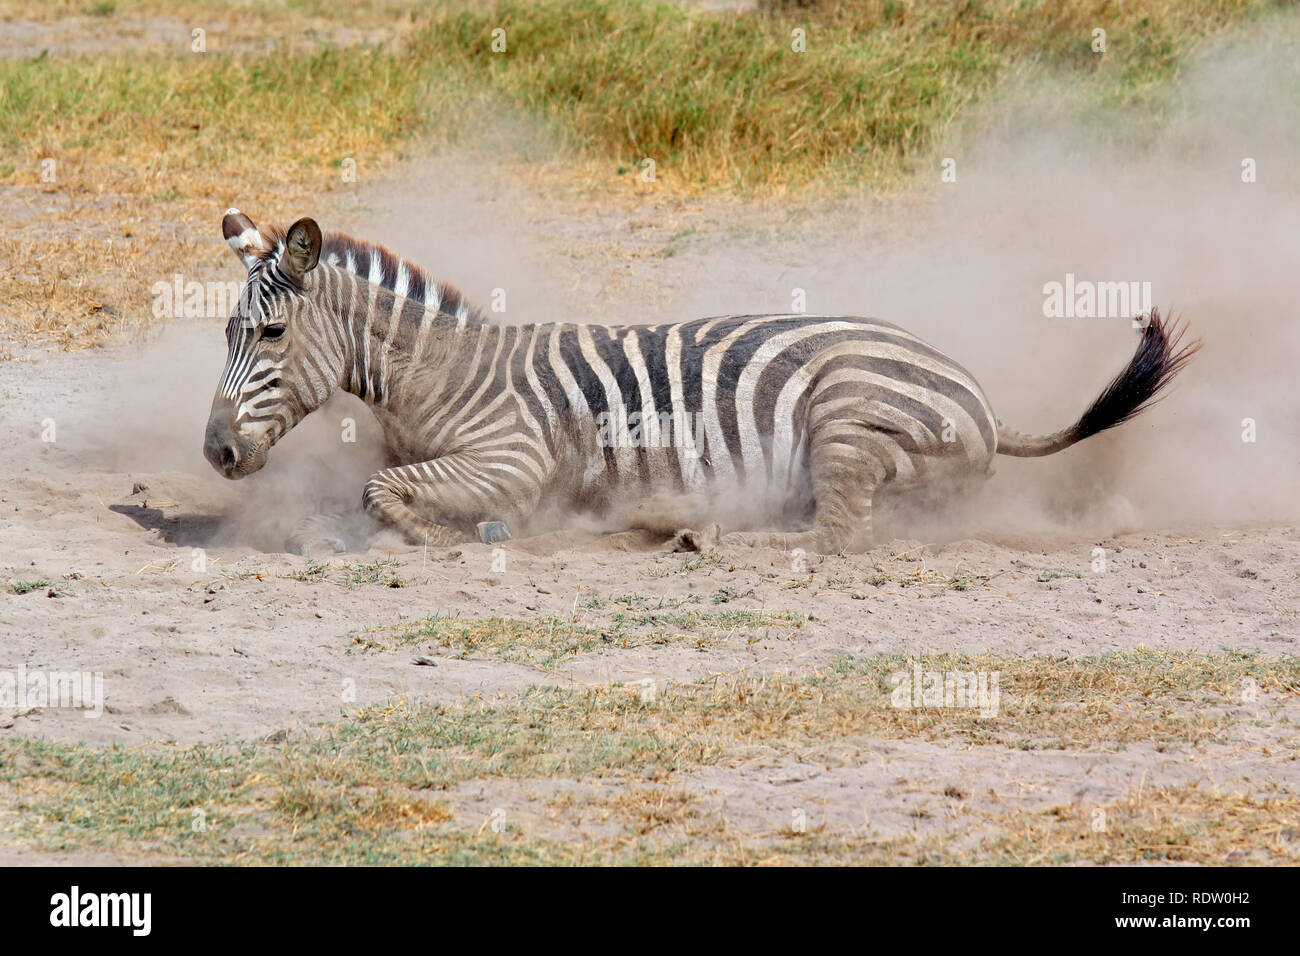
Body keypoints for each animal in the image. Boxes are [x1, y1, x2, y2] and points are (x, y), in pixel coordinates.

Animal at [200, 209, 1196, 554]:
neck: (439, 374)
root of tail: (978, 390)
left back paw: (699, 533)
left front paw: (445, 534)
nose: (214, 452)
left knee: (834, 537)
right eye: (226, 333)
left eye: (273, 332)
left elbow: (386, 490)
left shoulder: (514, 461)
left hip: (844, 420)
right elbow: (365, 487)